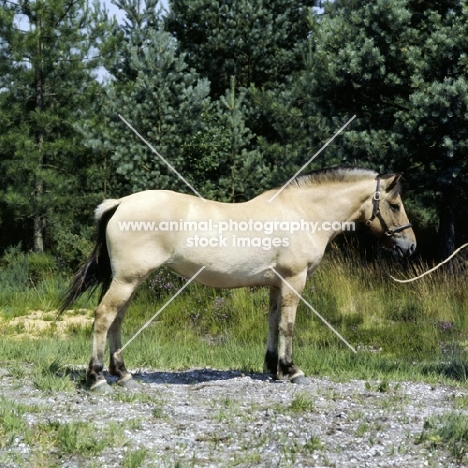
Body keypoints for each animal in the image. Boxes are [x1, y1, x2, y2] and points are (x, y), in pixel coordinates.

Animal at [61, 166, 416, 394]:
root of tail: (119, 203)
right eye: (395, 204)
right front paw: (292, 370)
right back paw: (97, 378)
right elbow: (288, 325)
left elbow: (273, 323)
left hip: (130, 281)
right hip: (127, 280)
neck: (302, 213)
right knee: (104, 317)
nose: (410, 246)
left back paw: (123, 375)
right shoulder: (294, 280)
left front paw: (273, 368)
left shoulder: (276, 284)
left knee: (116, 320)